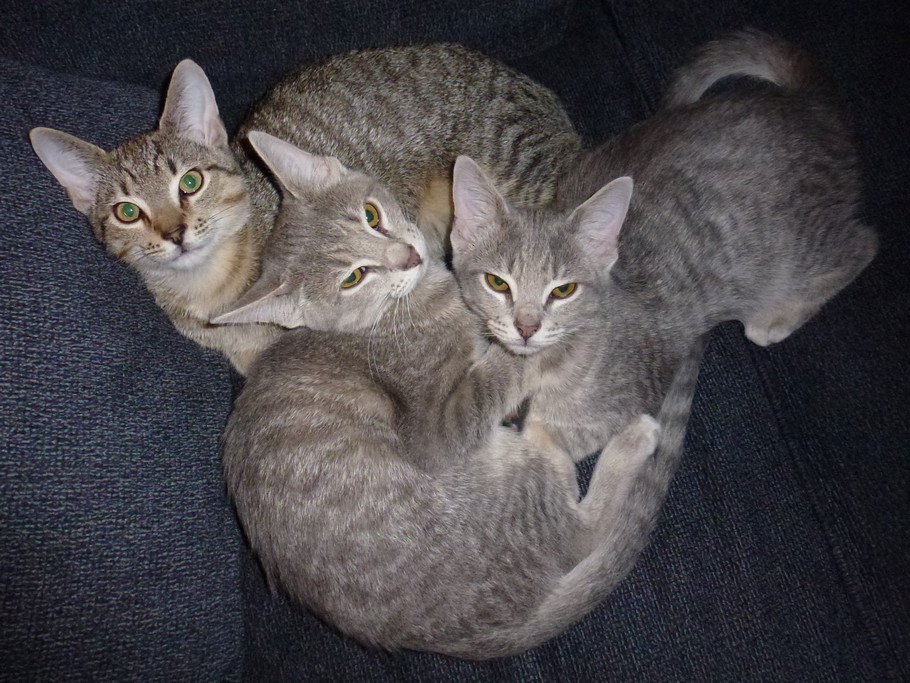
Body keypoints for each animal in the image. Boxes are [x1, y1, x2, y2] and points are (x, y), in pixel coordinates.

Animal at [219, 130, 704, 656]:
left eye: (371, 215)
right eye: (352, 277)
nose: (409, 257)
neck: (397, 313)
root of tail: (464, 637)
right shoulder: (436, 429)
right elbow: (496, 373)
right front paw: (526, 347)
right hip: (511, 479)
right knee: (579, 529)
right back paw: (627, 438)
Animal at [452, 30, 880, 460]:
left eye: (564, 290)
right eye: (498, 283)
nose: (526, 327)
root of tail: (808, 104)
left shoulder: (634, 389)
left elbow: (557, 441)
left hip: (796, 249)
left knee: (864, 243)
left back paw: (776, 318)